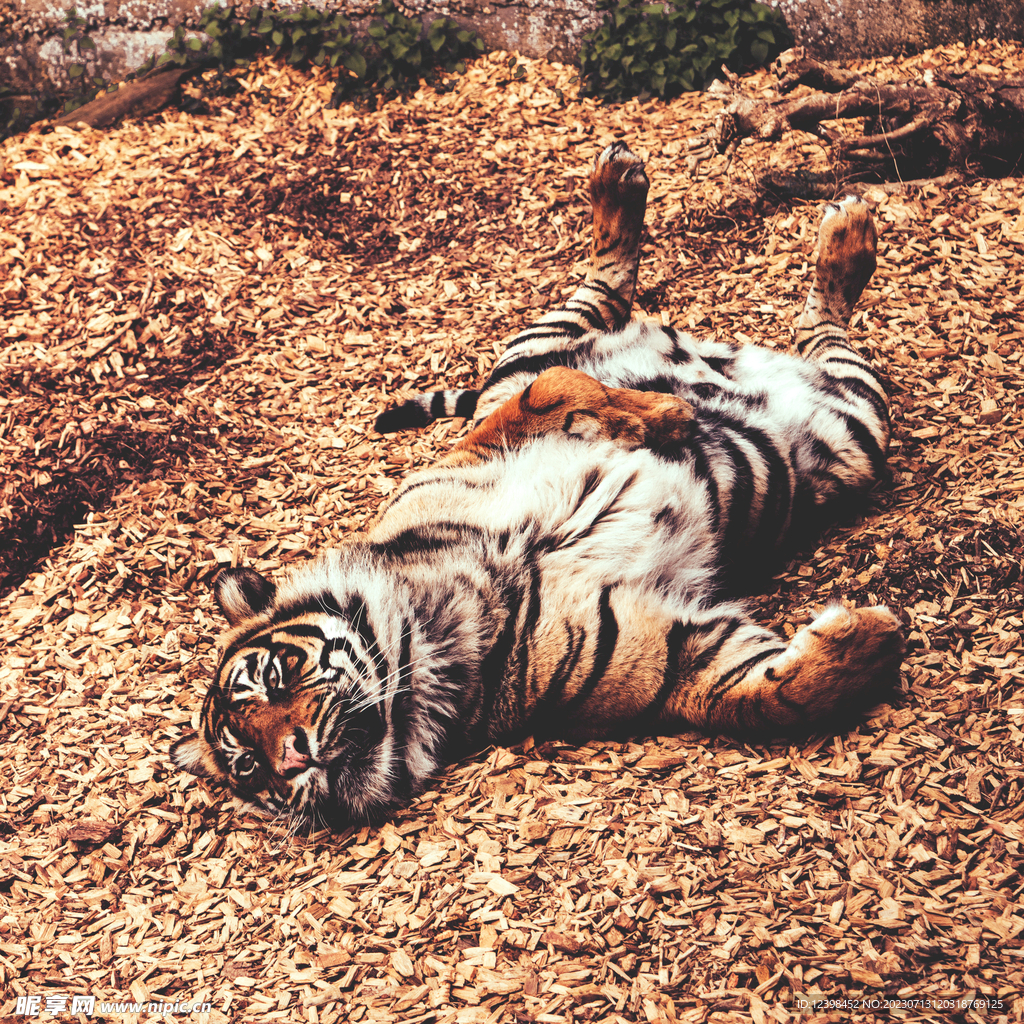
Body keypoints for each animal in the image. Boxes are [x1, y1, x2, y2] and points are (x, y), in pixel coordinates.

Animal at [170, 143, 904, 830]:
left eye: (272, 677)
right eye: (248, 765)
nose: (293, 760)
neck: (436, 629)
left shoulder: (476, 444)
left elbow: (557, 391)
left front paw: (666, 415)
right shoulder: (670, 652)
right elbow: (766, 697)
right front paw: (865, 638)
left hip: (546, 347)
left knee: (615, 292)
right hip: (852, 423)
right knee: (811, 333)